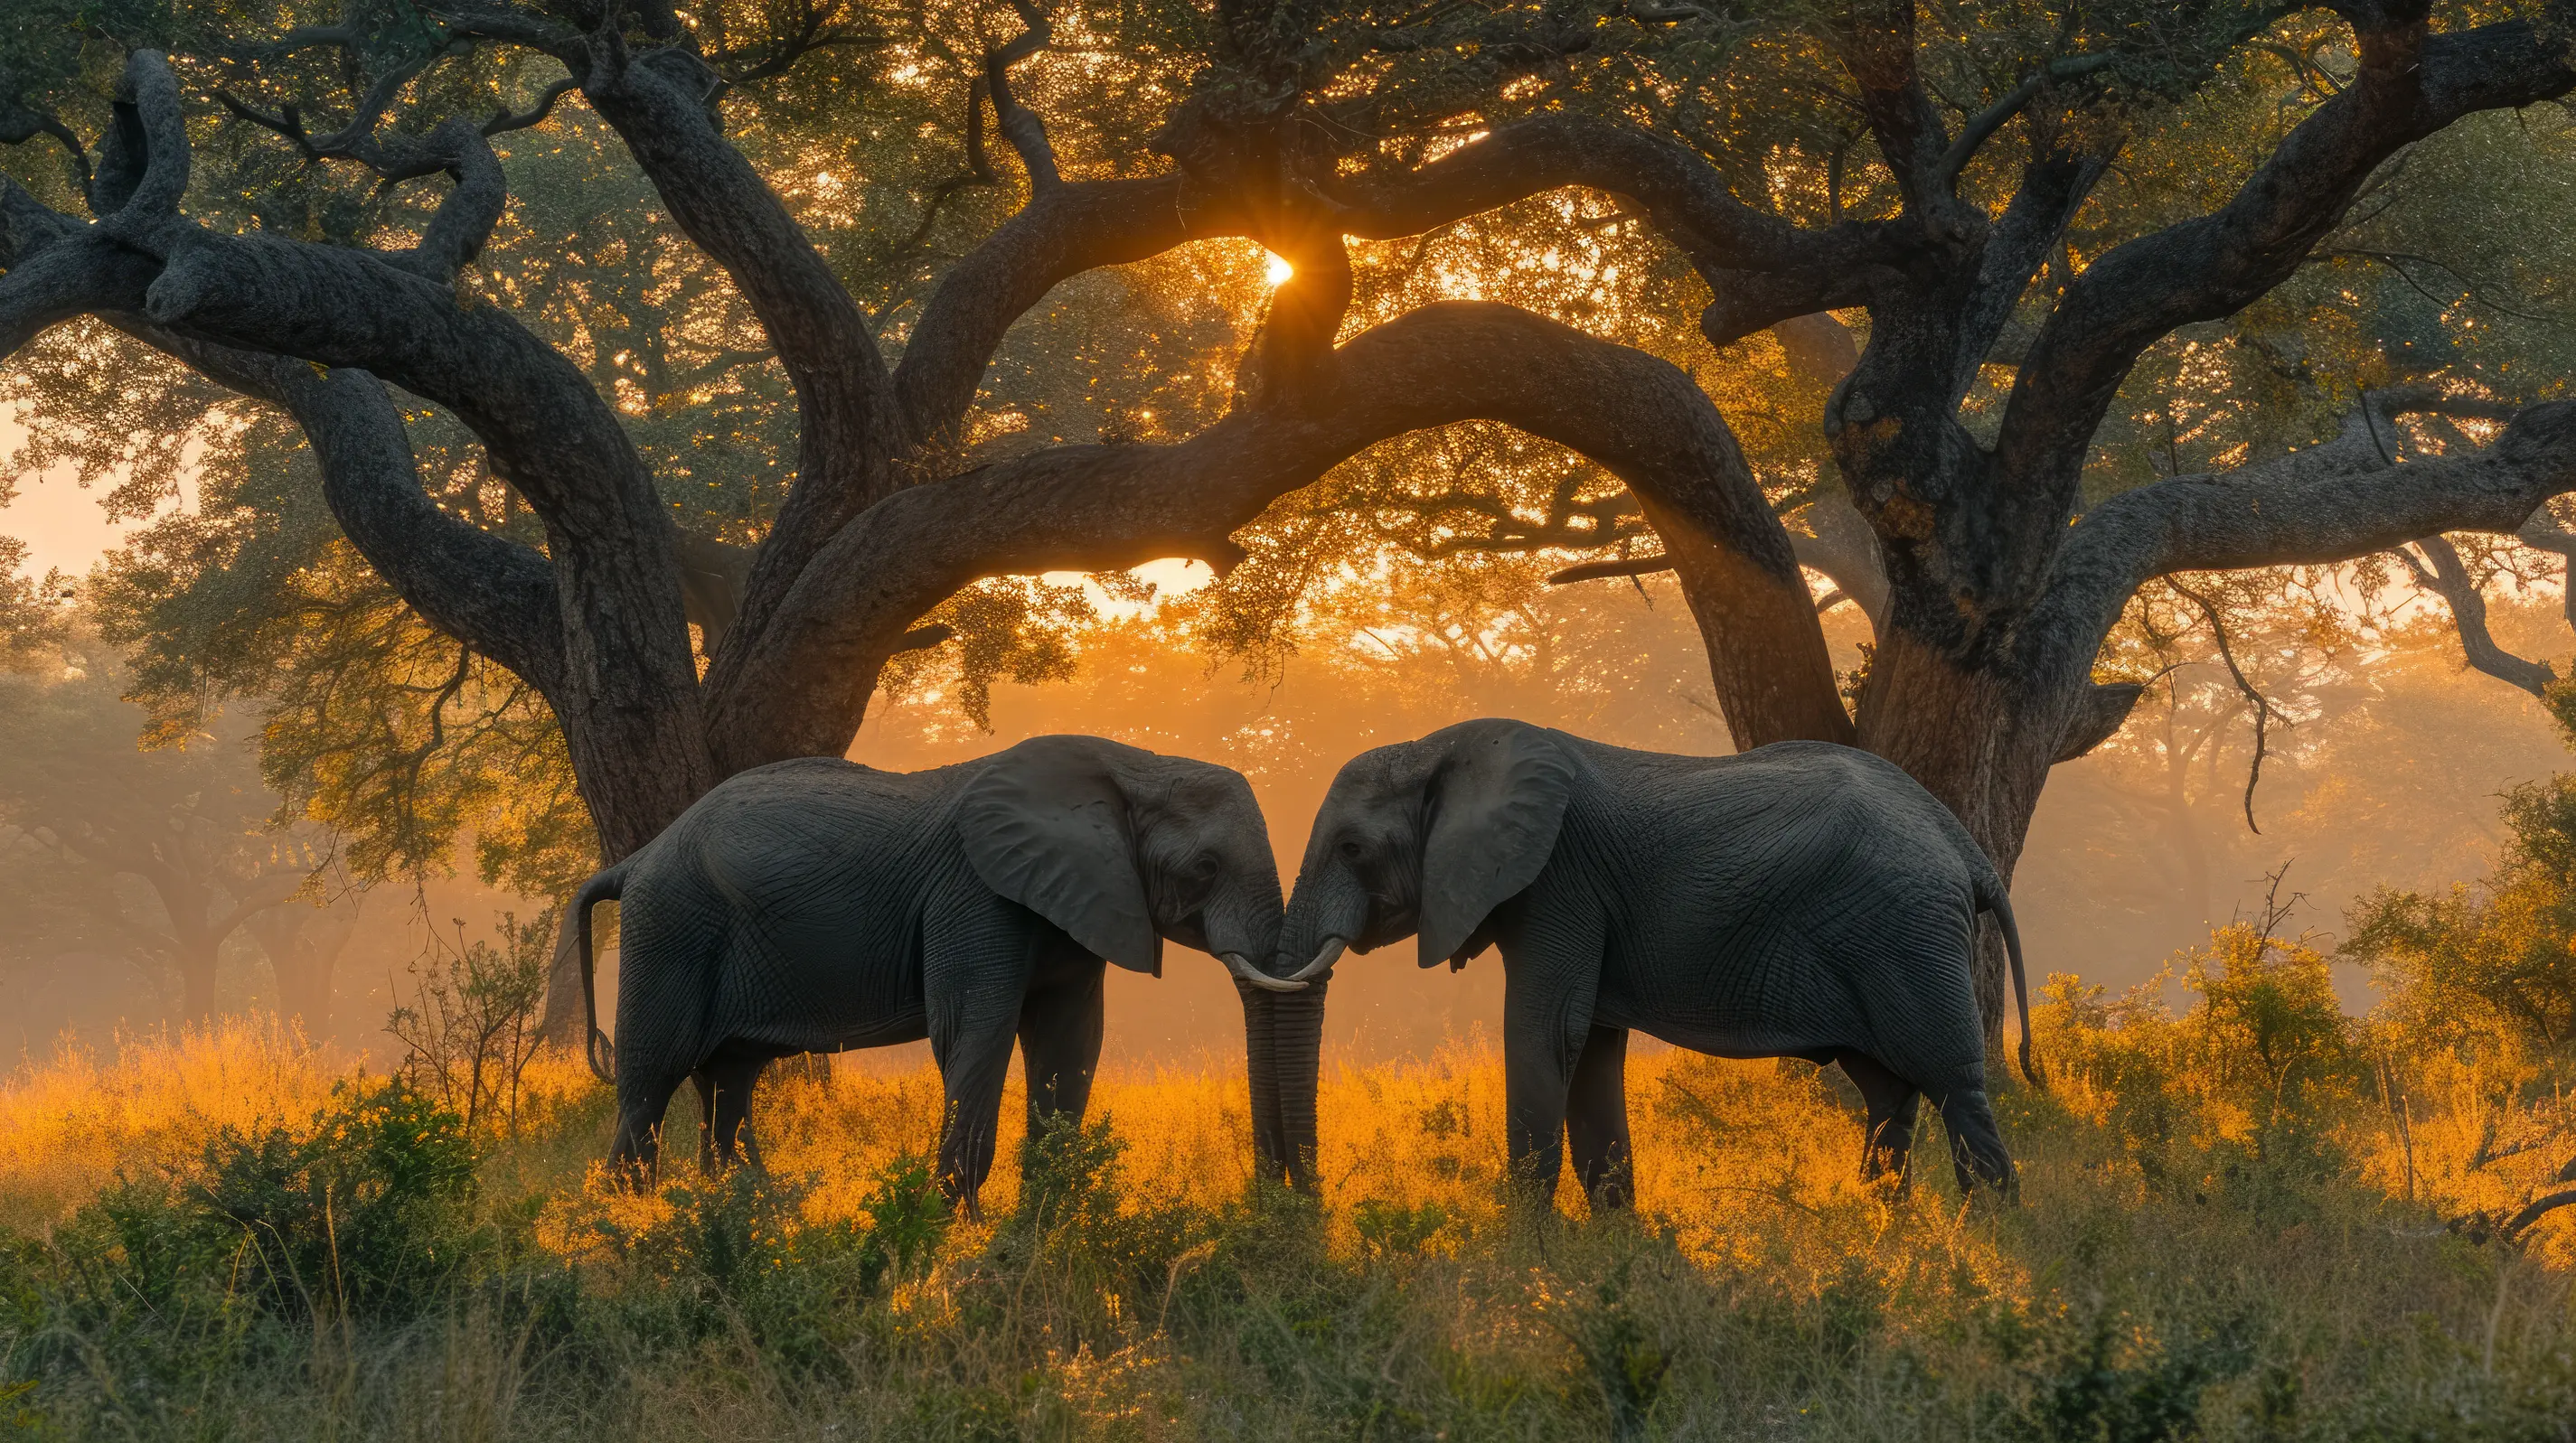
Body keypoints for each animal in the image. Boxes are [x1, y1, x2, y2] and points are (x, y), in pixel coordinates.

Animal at [571, 734, 1317, 1211]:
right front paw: (961, 1234)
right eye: (1205, 868)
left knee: (728, 1083)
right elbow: (972, 1032)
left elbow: (1069, 1044)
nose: (1273, 1191)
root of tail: (636, 858)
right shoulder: (975, 894)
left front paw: (1041, 1226)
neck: (1136, 765)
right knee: (651, 1082)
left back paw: (735, 1210)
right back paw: (628, 1224)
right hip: (670, 927)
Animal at [1261, 718, 2036, 1209]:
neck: (1438, 748)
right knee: (1888, 1090)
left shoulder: (1559, 882)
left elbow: (1545, 1034)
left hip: (1904, 933)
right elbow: (1591, 1049)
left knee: (1950, 1080)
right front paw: (1616, 1246)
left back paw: (1986, 1237)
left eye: (1352, 849)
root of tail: (1965, 848)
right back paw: (1888, 1232)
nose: (1307, 1197)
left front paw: (1526, 1250)